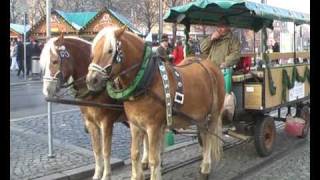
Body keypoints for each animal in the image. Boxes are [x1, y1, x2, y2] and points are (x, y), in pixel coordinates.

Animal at [39, 34, 149, 179]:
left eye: (55, 61)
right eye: (43, 64)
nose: (47, 90)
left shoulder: (106, 122)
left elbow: (106, 150)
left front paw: (106, 175)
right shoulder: (91, 123)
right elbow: (97, 150)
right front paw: (97, 175)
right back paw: (145, 161)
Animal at [85, 26, 225, 180]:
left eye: (110, 50)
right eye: (93, 51)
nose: (91, 80)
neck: (146, 80)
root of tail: (210, 65)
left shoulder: (153, 127)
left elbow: (154, 159)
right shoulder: (135, 125)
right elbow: (135, 154)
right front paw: (137, 175)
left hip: (214, 114)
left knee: (209, 137)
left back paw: (205, 167)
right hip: (200, 117)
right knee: (204, 136)